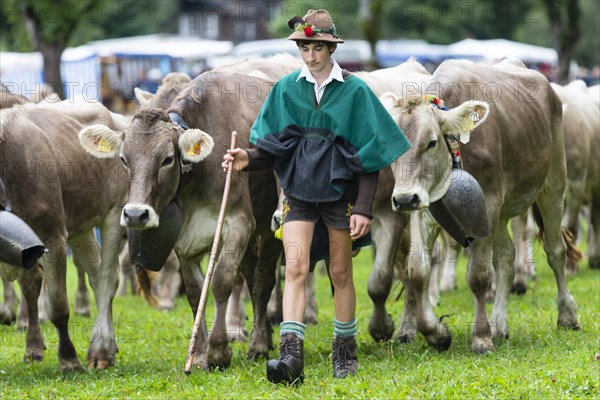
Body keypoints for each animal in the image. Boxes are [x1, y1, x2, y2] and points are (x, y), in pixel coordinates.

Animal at [386, 58, 580, 354]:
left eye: (431, 142)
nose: (404, 199)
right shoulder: (423, 211)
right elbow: (417, 271)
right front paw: (436, 333)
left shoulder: (487, 203)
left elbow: (478, 274)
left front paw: (481, 337)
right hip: (500, 215)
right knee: (506, 257)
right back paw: (499, 324)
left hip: (554, 184)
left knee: (555, 250)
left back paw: (567, 315)